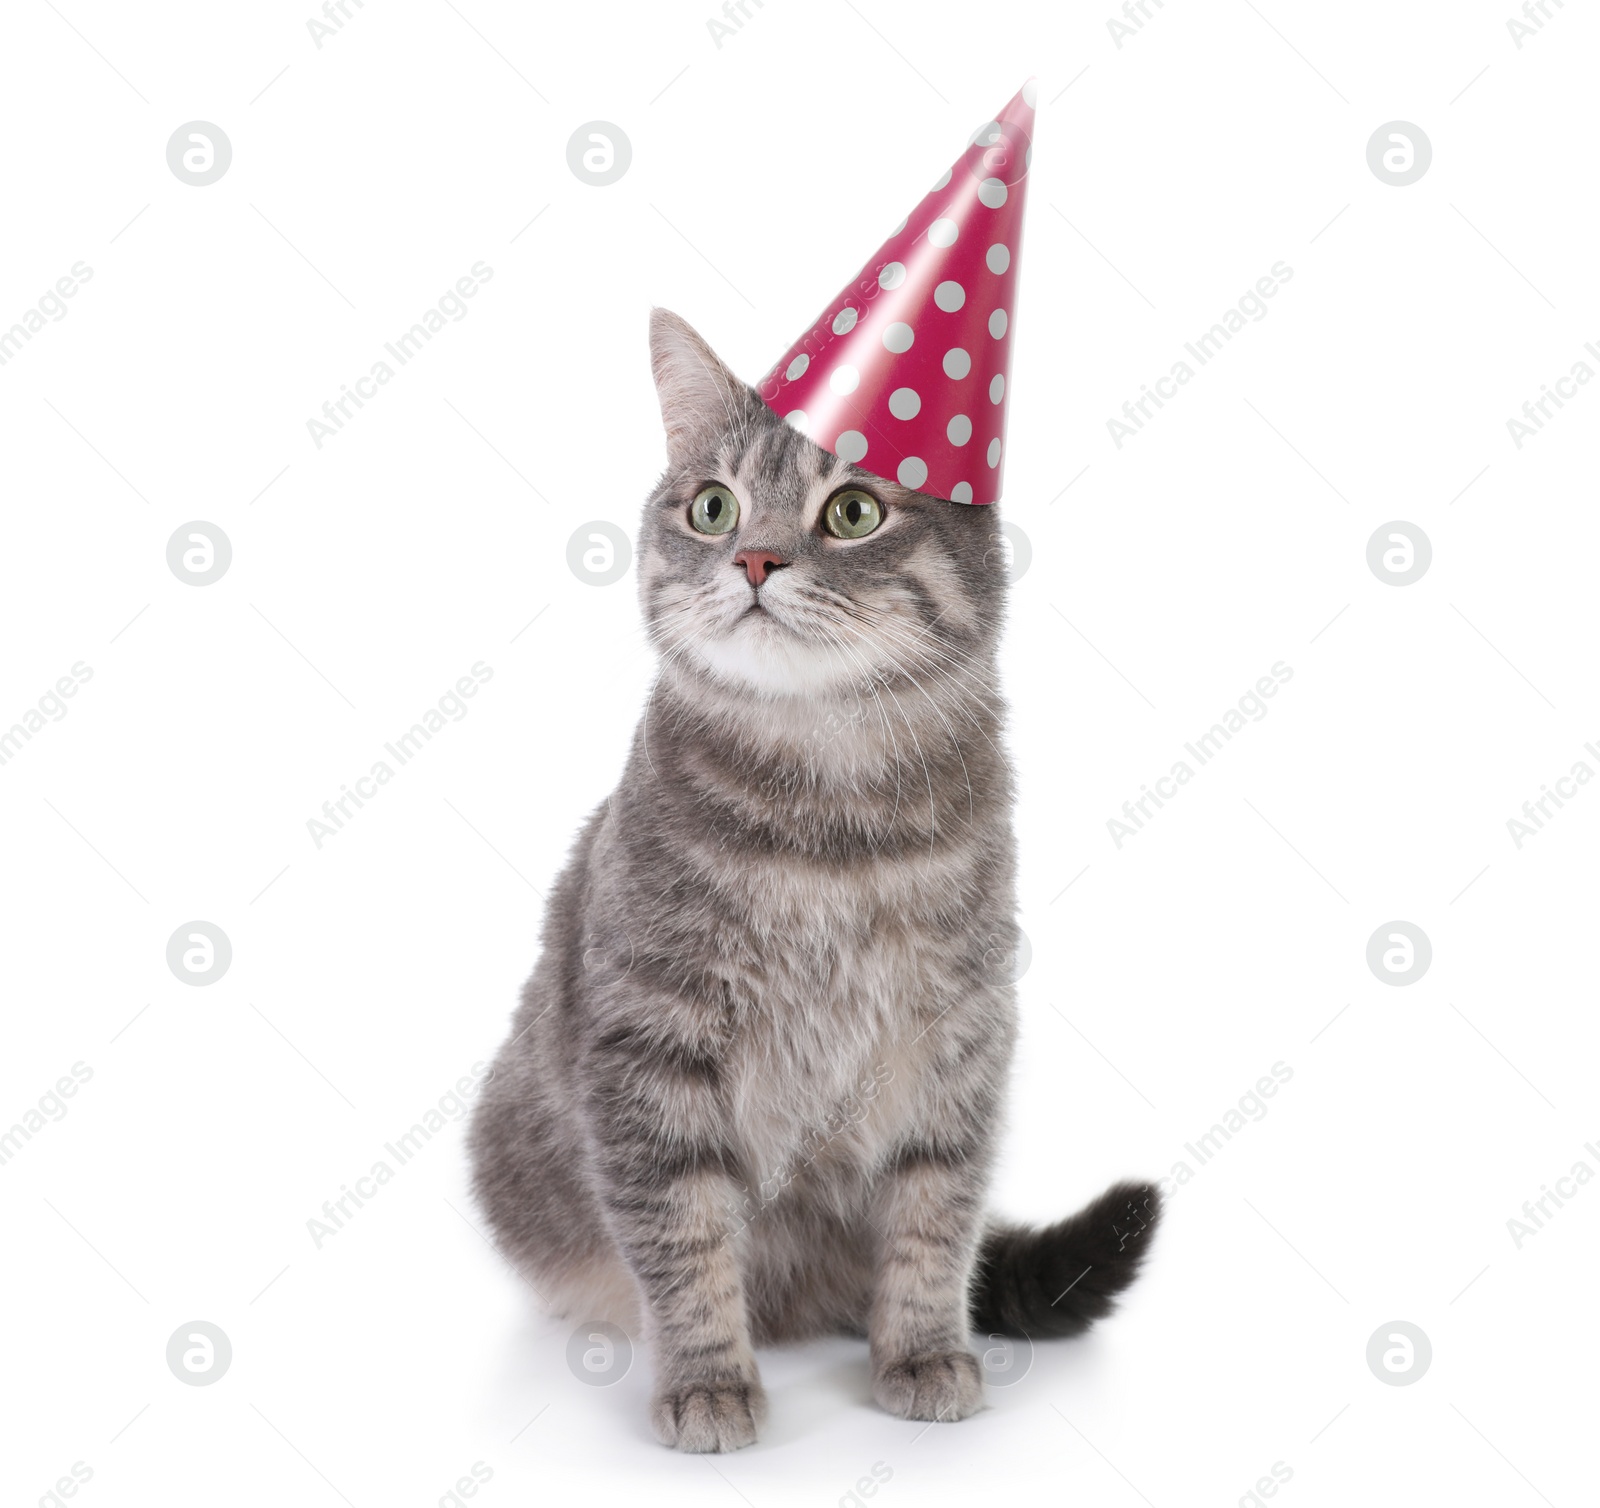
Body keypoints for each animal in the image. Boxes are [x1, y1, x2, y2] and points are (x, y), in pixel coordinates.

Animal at [467, 307, 1158, 1453]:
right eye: (713, 505)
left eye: (853, 510)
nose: (753, 557)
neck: (826, 824)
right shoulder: (651, 1040)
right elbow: (682, 1230)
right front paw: (706, 1377)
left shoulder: (956, 1036)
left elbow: (935, 1213)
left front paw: (921, 1349)